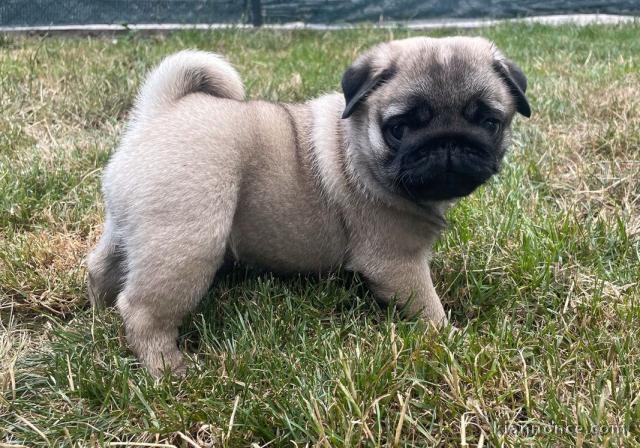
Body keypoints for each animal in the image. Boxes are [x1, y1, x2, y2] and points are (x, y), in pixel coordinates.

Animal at [89, 37, 528, 374]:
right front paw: (450, 340)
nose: (449, 143)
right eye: (399, 129)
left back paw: (97, 309)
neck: (356, 145)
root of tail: (160, 111)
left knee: (101, 266)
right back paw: (167, 369)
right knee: (143, 310)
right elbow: (428, 306)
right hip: (188, 242)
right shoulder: (396, 262)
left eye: (490, 122)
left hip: (129, 227)